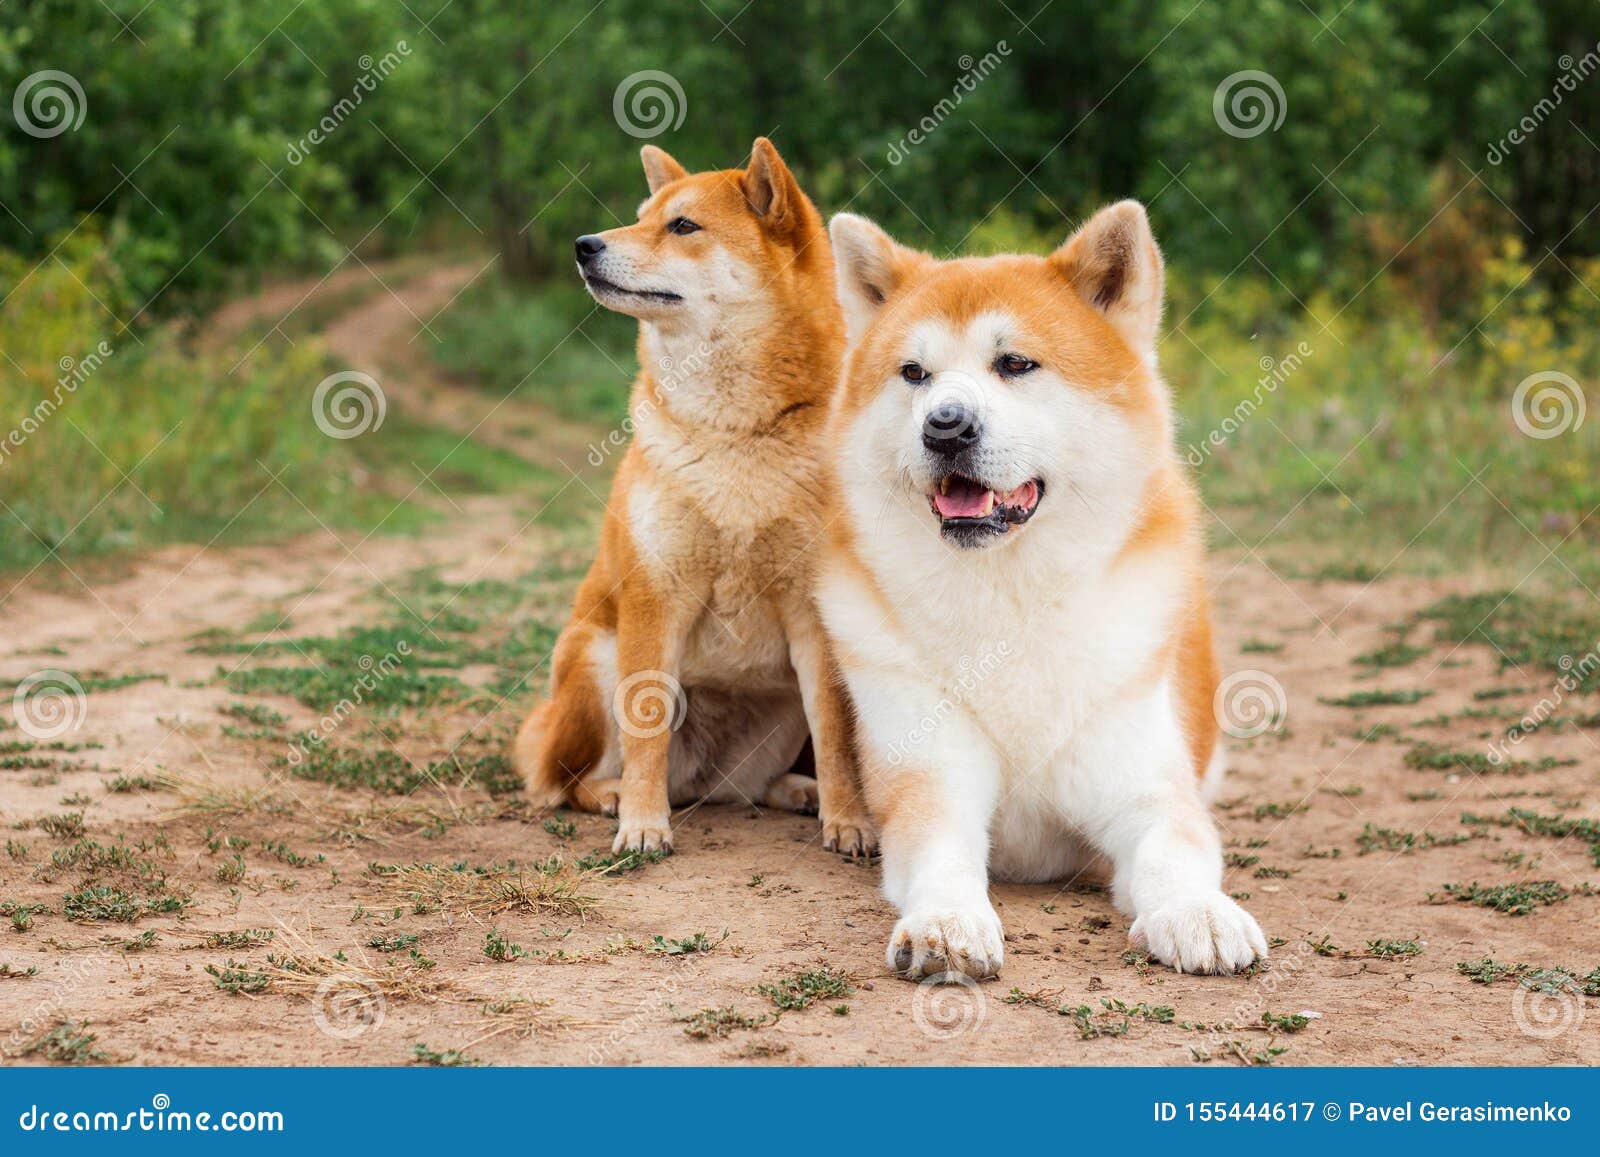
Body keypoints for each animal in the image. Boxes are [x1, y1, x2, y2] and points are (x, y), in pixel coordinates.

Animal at [515, 138, 876, 857]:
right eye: (640, 217)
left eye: (682, 225)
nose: (585, 244)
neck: (734, 431)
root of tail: (702, 780)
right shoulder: (656, 599)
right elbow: (646, 732)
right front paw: (642, 825)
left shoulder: (815, 617)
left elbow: (837, 737)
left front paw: (848, 820)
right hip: (596, 659)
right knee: (568, 781)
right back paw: (613, 795)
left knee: (755, 783)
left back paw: (798, 791)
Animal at [819, 204, 1267, 979]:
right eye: (914, 373)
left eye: (1015, 364)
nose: (945, 425)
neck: (1008, 600)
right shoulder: (932, 781)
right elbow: (942, 857)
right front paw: (946, 921)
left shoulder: (1146, 789)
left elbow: (1176, 853)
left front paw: (1196, 912)